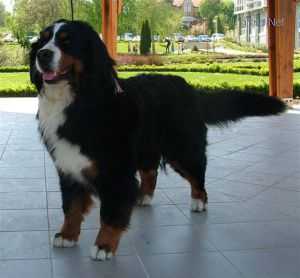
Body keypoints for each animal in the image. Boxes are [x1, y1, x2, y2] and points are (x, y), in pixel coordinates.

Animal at [29, 19, 288, 260]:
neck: (77, 100)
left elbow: (110, 213)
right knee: (150, 173)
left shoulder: (115, 172)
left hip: (181, 148)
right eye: (43, 40)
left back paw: (199, 201)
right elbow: (71, 206)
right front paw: (68, 235)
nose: (42, 55)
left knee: (197, 175)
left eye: (67, 41)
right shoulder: (68, 165)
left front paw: (104, 245)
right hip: (147, 147)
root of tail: (190, 88)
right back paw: (143, 197)